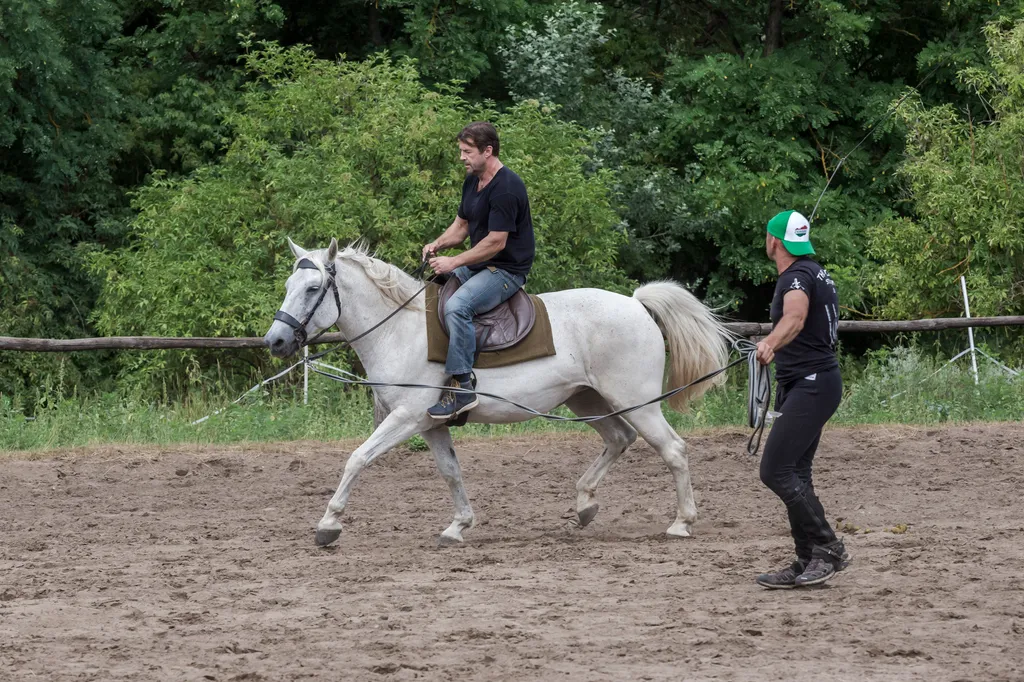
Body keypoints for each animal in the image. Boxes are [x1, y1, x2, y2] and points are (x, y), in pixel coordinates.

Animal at [264, 238, 729, 548]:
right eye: (288, 285)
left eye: (311, 289)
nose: (275, 341)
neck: (400, 329)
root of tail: (635, 303)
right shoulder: (431, 424)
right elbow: (451, 472)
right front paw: (458, 526)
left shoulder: (406, 418)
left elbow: (357, 458)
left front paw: (328, 525)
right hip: (587, 399)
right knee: (619, 439)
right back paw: (584, 505)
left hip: (634, 402)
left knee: (673, 450)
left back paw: (682, 523)